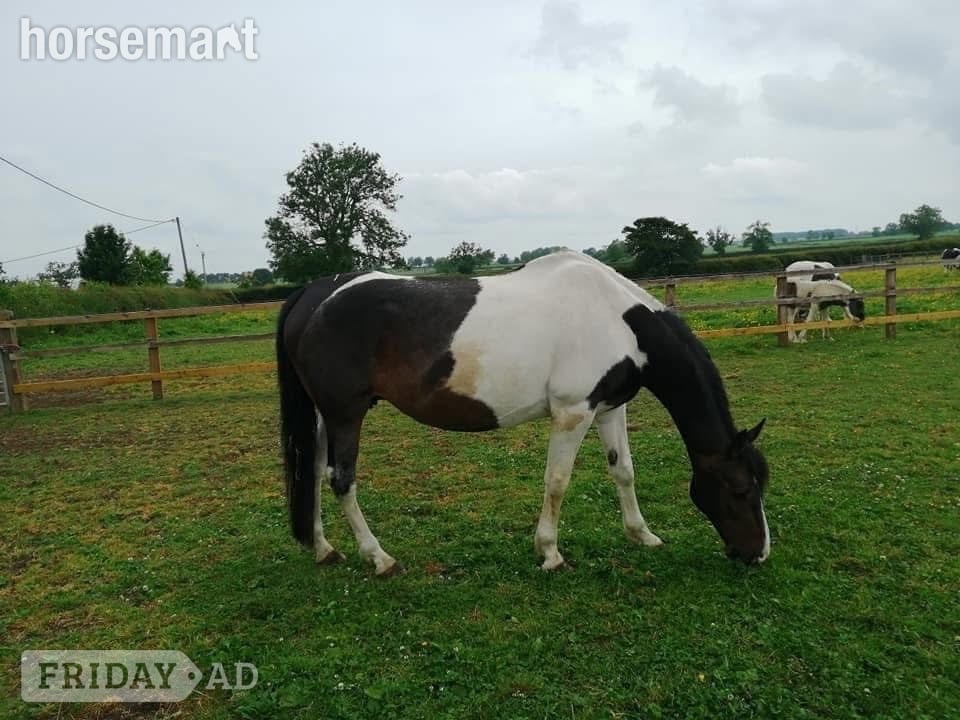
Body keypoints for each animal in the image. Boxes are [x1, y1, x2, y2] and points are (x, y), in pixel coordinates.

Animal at [276, 250, 770, 575]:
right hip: (345, 413)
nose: (759, 553)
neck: (617, 320)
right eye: (741, 489)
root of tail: (315, 293)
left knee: (313, 472)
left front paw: (642, 535)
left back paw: (324, 548)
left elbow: (623, 472)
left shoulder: (610, 409)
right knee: (341, 480)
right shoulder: (573, 413)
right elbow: (557, 482)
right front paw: (550, 552)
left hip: (324, 415)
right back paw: (379, 558)